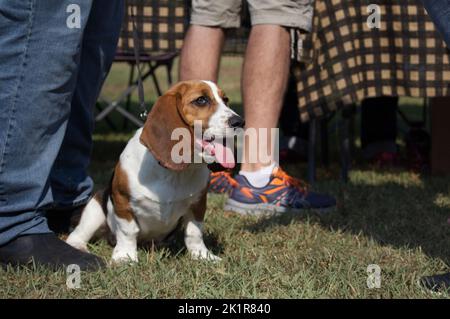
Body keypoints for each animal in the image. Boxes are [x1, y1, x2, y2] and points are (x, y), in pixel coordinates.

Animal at [65, 81, 244, 264]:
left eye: (226, 100)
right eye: (201, 100)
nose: (240, 122)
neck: (173, 173)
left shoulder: (198, 204)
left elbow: (194, 233)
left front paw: (202, 256)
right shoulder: (122, 201)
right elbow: (128, 232)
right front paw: (125, 256)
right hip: (93, 209)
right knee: (77, 235)